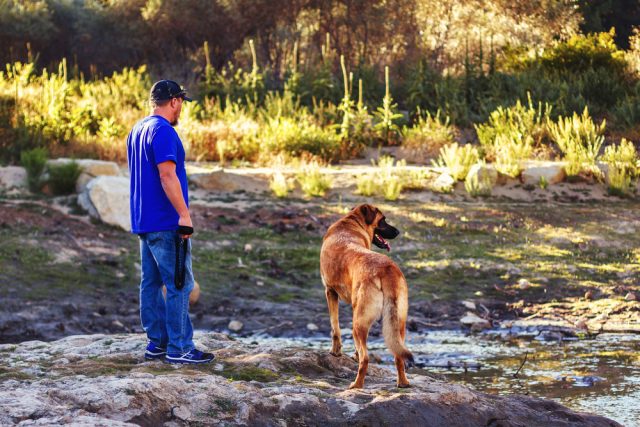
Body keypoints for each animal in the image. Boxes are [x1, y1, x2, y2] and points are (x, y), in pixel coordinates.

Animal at [320, 206, 416, 390]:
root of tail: (387, 269)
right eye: (383, 220)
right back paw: (403, 383)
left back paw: (356, 385)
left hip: (358, 322)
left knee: (366, 358)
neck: (350, 223)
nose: (398, 231)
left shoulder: (330, 292)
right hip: (397, 323)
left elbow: (335, 327)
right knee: (398, 355)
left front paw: (336, 352)